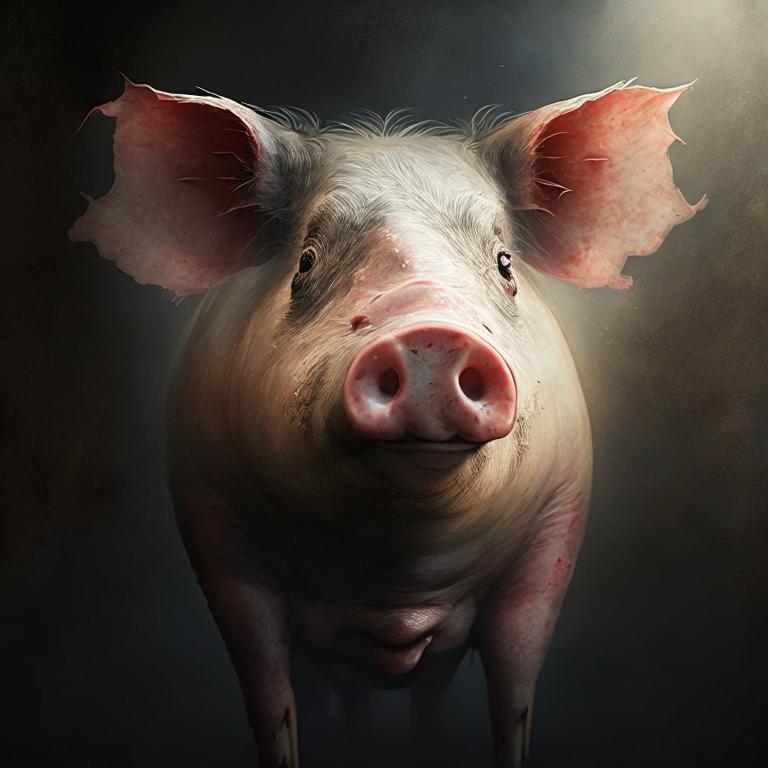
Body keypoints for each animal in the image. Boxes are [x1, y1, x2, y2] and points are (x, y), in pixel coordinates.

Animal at [70, 78, 705, 767]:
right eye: (306, 261)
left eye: (506, 264)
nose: (431, 335)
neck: (397, 582)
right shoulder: (210, 523)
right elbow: (269, 697)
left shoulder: (558, 523)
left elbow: (514, 687)